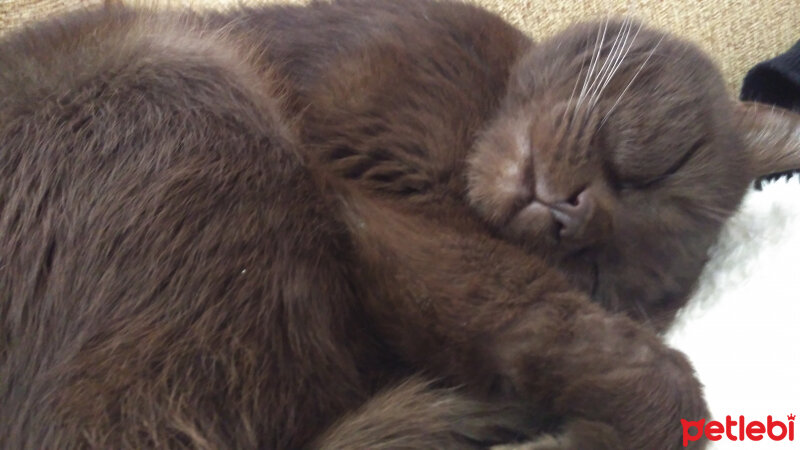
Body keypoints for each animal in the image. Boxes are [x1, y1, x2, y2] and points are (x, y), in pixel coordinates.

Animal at [4, 0, 800, 448]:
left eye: (602, 269)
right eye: (659, 166)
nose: (577, 218)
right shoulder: (389, 216)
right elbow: (599, 344)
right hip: (194, 88)